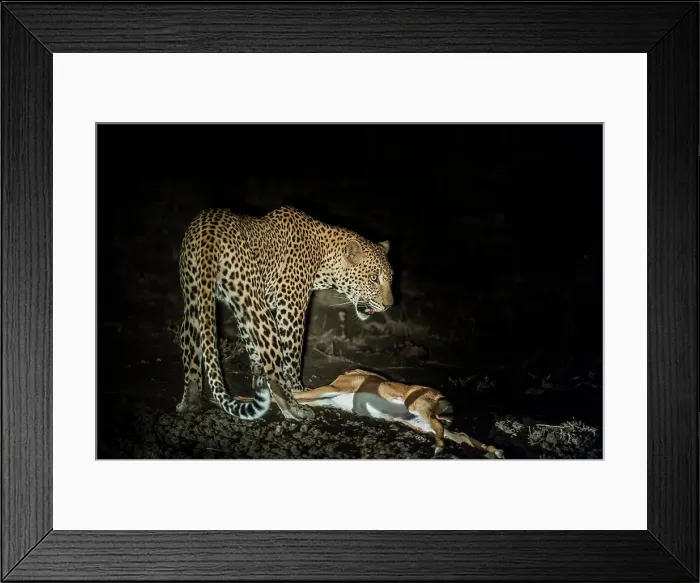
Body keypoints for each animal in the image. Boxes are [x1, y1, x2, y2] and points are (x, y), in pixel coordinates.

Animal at [175, 205, 394, 422]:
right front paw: (297, 388)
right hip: (260, 310)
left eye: (390, 278)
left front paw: (259, 383)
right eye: (373, 279)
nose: (389, 305)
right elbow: (292, 356)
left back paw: (189, 403)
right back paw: (294, 408)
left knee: (190, 352)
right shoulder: (291, 308)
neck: (324, 258)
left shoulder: (242, 309)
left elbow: (253, 350)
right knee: (277, 369)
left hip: (194, 298)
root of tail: (209, 230)